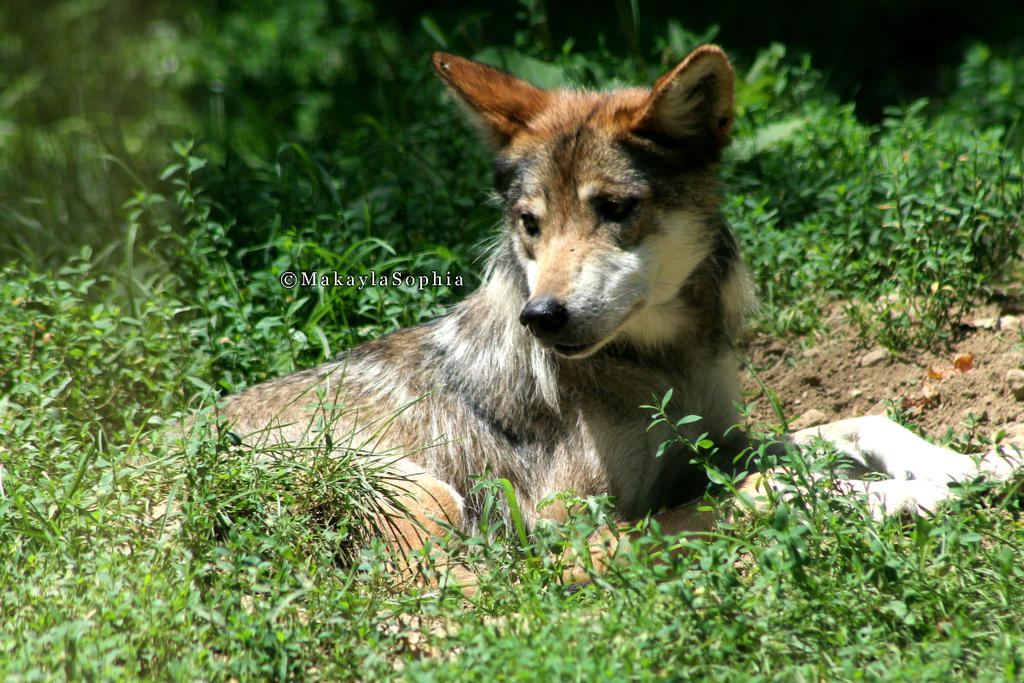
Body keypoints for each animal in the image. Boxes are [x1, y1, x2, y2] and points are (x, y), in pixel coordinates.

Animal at [216, 44, 1015, 589]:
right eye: (531, 223)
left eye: (615, 208)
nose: (541, 315)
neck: (659, 366)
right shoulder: (571, 522)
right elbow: (763, 489)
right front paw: (904, 495)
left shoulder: (716, 442)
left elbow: (860, 423)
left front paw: (973, 462)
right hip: (425, 495)